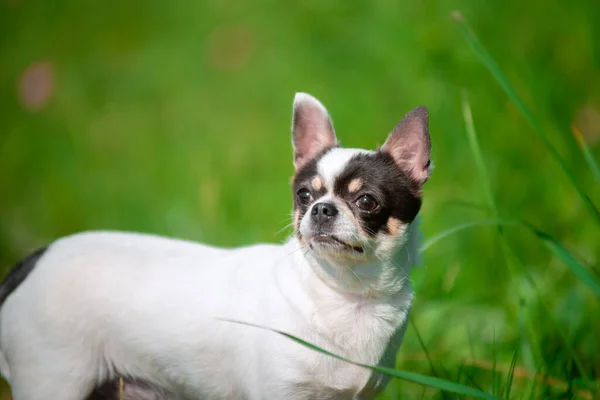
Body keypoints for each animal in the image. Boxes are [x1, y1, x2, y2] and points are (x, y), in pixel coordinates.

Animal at [0, 94, 432, 400]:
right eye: (304, 196)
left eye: (367, 201)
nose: (321, 209)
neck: (348, 296)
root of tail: (34, 260)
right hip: (54, 380)